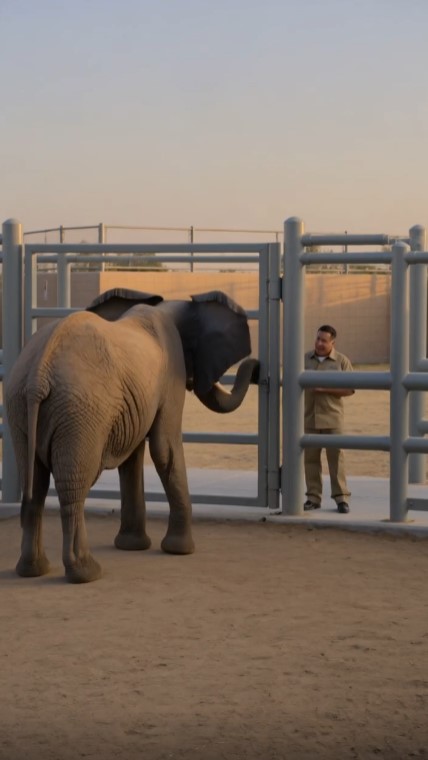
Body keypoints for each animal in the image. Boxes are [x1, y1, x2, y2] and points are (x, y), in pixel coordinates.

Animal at [5, 288, 259, 584]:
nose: (257, 367)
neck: (167, 308)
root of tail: (39, 373)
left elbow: (132, 459)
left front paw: (132, 546)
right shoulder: (172, 371)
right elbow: (165, 448)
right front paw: (180, 551)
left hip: (19, 405)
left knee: (34, 483)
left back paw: (33, 570)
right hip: (79, 411)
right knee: (73, 486)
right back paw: (87, 573)